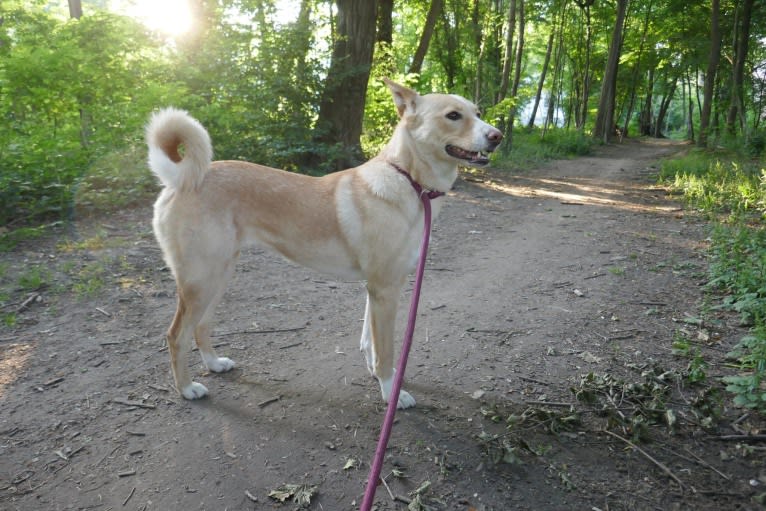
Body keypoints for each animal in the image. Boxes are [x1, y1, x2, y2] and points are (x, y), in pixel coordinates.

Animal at [146, 79, 504, 408]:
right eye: (453, 115)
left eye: (478, 113)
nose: (497, 135)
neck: (406, 178)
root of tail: (179, 182)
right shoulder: (386, 289)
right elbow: (387, 352)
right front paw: (391, 392)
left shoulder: (376, 290)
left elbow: (369, 341)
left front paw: (375, 375)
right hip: (201, 282)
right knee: (176, 336)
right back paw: (187, 389)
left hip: (218, 278)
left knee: (201, 328)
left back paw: (214, 364)